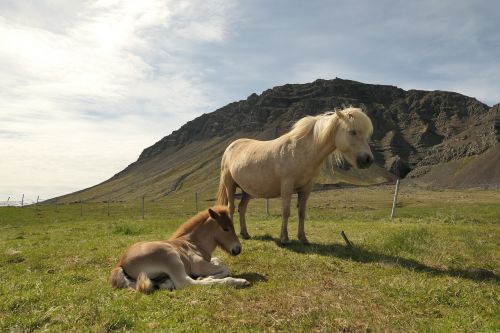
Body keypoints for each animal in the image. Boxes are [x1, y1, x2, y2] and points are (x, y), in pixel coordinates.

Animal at [110, 205, 250, 290]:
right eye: (225, 228)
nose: (238, 249)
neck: (193, 243)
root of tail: (121, 263)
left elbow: (218, 261)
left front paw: (208, 275)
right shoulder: (198, 265)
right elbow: (225, 268)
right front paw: (205, 276)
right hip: (171, 257)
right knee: (186, 282)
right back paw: (239, 281)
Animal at [217, 107, 374, 243]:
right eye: (352, 132)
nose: (368, 160)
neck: (301, 151)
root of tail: (230, 147)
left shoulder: (307, 188)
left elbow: (302, 213)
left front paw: (303, 238)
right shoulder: (287, 185)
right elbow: (286, 211)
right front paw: (284, 238)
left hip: (247, 191)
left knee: (241, 209)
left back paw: (245, 234)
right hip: (230, 185)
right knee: (231, 208)